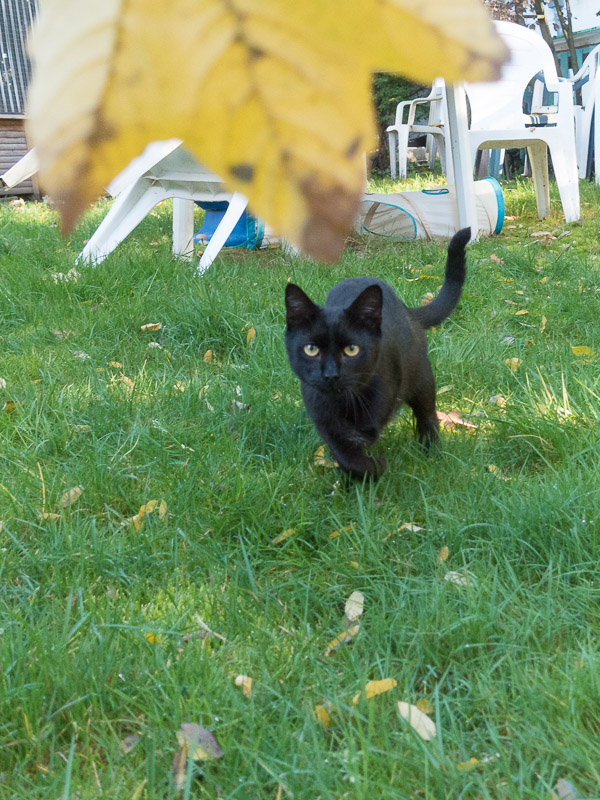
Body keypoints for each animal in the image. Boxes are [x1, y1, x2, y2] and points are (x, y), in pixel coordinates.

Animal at [284, 225, 472, 478]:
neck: (345, 403)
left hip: (422, 377)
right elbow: (344, 453)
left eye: (352, 349)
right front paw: (364, 471)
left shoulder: (378, 407)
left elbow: (360, 442)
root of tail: (406, 310)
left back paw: (432, 452)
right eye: (311, 349)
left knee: (428, 416)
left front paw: (374, 467)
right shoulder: (321, 417)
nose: (331, 374)